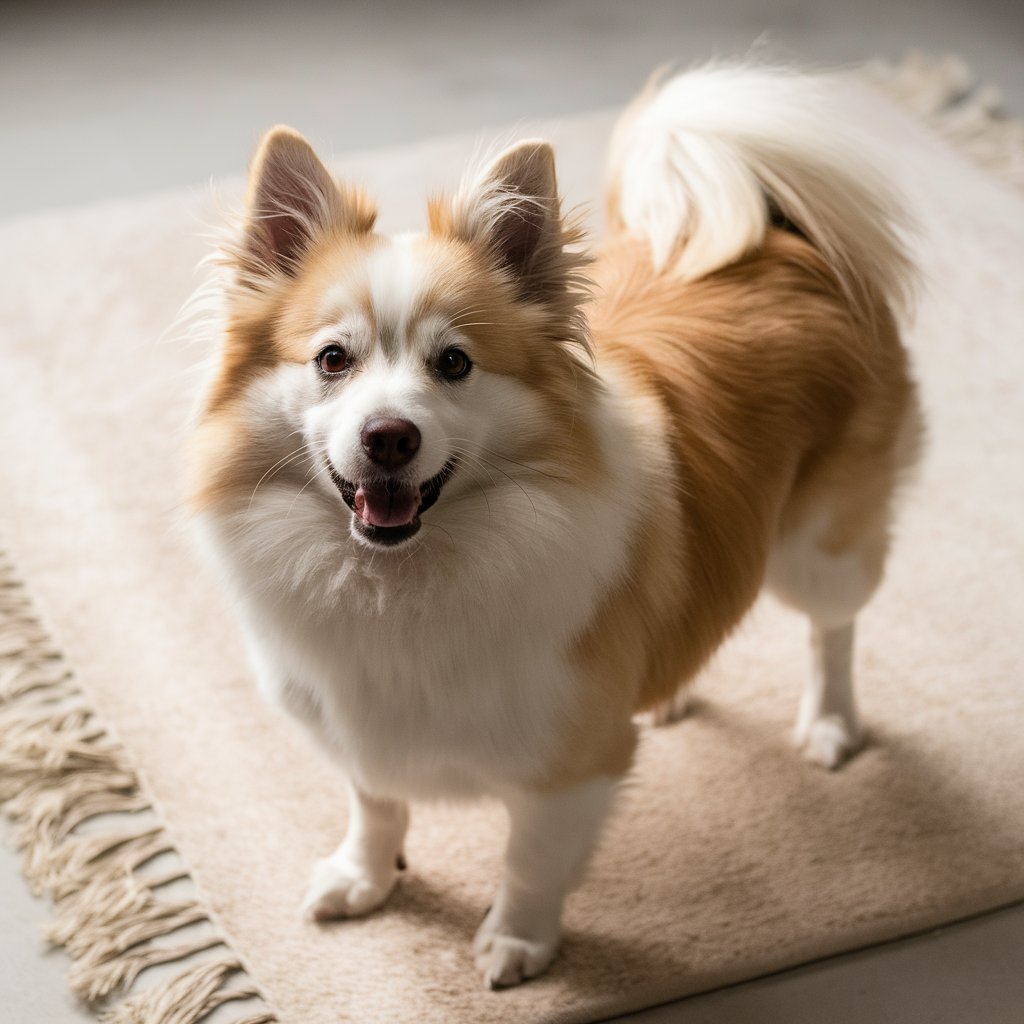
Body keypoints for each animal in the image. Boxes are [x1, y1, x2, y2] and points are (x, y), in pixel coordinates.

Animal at [188, 61, 925, 983]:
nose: (389, 436)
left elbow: (531, 860)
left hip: (818, 550)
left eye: (454, 364)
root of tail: (786, 238)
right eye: (332, 359)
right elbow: (375, 806)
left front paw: (517, 943)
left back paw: (829, 723)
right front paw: (365, 880)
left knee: (834, 631)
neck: (402, 582)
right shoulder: (360, 727)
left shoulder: (570, 769)